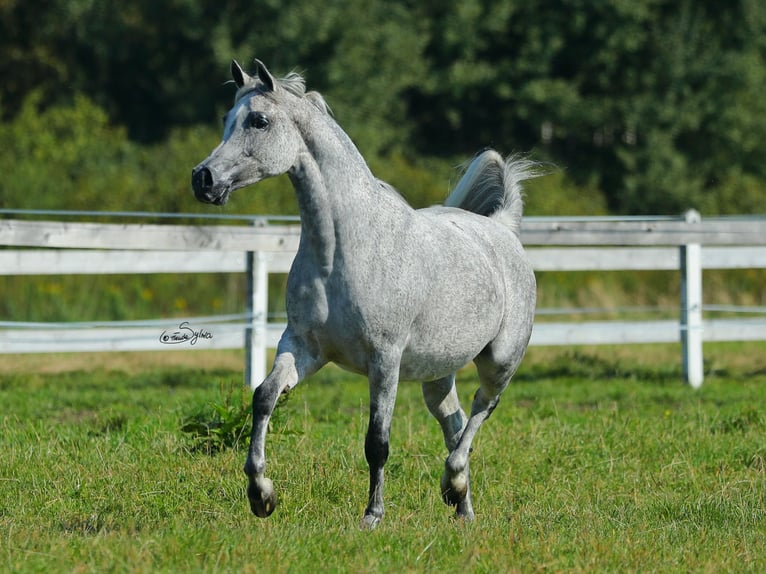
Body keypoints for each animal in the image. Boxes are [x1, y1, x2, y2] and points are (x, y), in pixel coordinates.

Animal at [192, 59, 540, 532]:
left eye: (259, 121)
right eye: (228, 118)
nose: (203, 179)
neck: (343, 250)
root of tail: (503, 229)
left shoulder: (384, 359)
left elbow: (377, 441)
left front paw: (372, 515)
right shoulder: (303, 346)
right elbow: (264, 397)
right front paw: (261, 495)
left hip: (499, 361)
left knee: (481, 410)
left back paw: (452, 482)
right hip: (436, 373)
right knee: (455, 422)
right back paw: (461, 505)